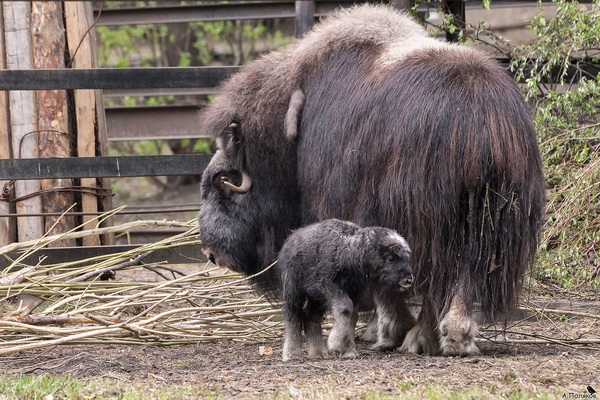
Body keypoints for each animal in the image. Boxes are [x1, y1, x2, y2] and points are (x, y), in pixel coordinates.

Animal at [280, 220, 412, 360]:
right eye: (391, 258)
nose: (408, 280)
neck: (350, 250)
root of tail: (290, 240)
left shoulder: (354, 291)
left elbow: (353, 315)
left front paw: (348, 351)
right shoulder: (330, 285)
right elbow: (345, 309)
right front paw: (337, 345)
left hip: (316, 299)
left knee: (311, 316)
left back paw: (319, 352)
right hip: (293, 290)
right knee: (293, 314)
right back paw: (292, 354)